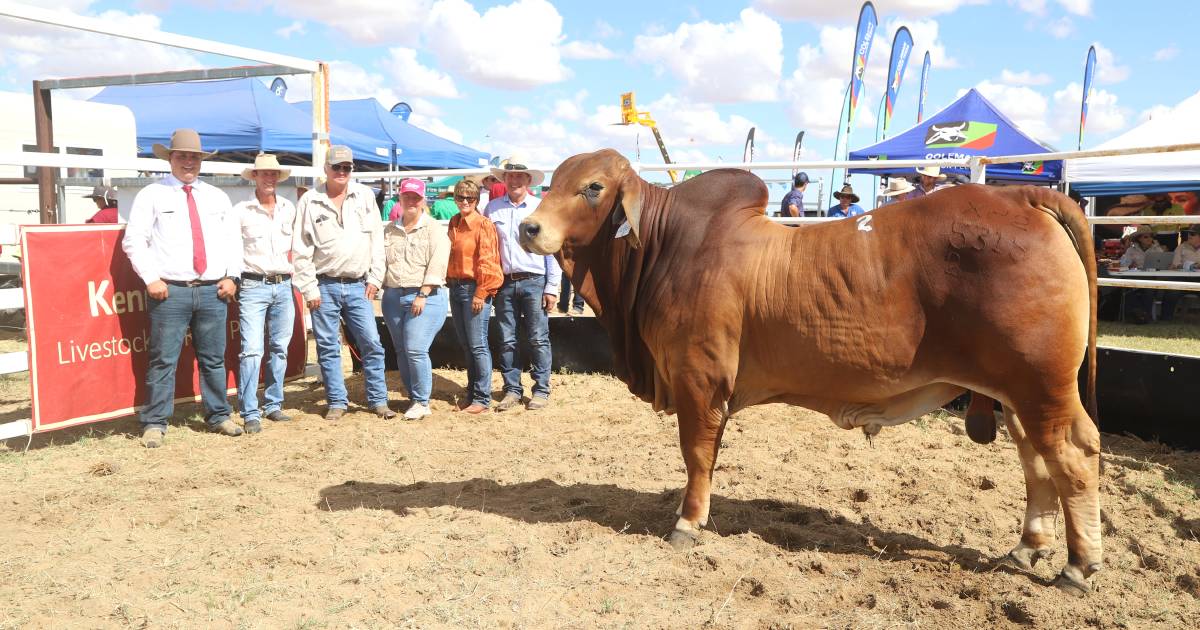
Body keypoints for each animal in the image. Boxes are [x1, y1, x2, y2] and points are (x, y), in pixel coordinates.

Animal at [520, 148, 1099, 595]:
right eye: (554, 181)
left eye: (593, 187)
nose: (528, 227)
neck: (664, 248)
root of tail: (1019, 196)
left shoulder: (698, 380)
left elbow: (697, 454)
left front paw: (687, 523)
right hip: (1017, 392)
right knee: (1036, 459)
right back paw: (1027, 548)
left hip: (1041, 385)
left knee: (1073, 453)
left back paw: (1078, 566)